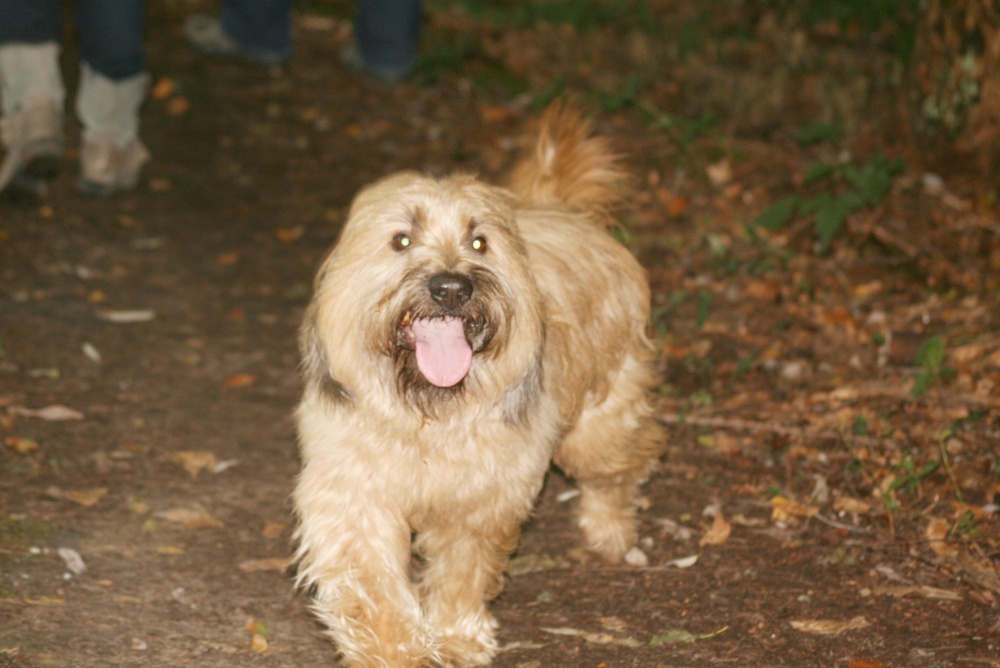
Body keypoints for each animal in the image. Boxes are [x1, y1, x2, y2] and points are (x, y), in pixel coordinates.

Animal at [292, 104, 660, 668]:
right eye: (402, 239)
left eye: (479, 242)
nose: (451, 287)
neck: (429, 414)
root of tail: (560, 210)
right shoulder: (356, 493)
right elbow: (370, 583)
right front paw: (394, 649)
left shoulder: (483, 499)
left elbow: (464, 570)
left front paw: (456, 637)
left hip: (600, 425)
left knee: (622, 467)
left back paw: (610, 530)